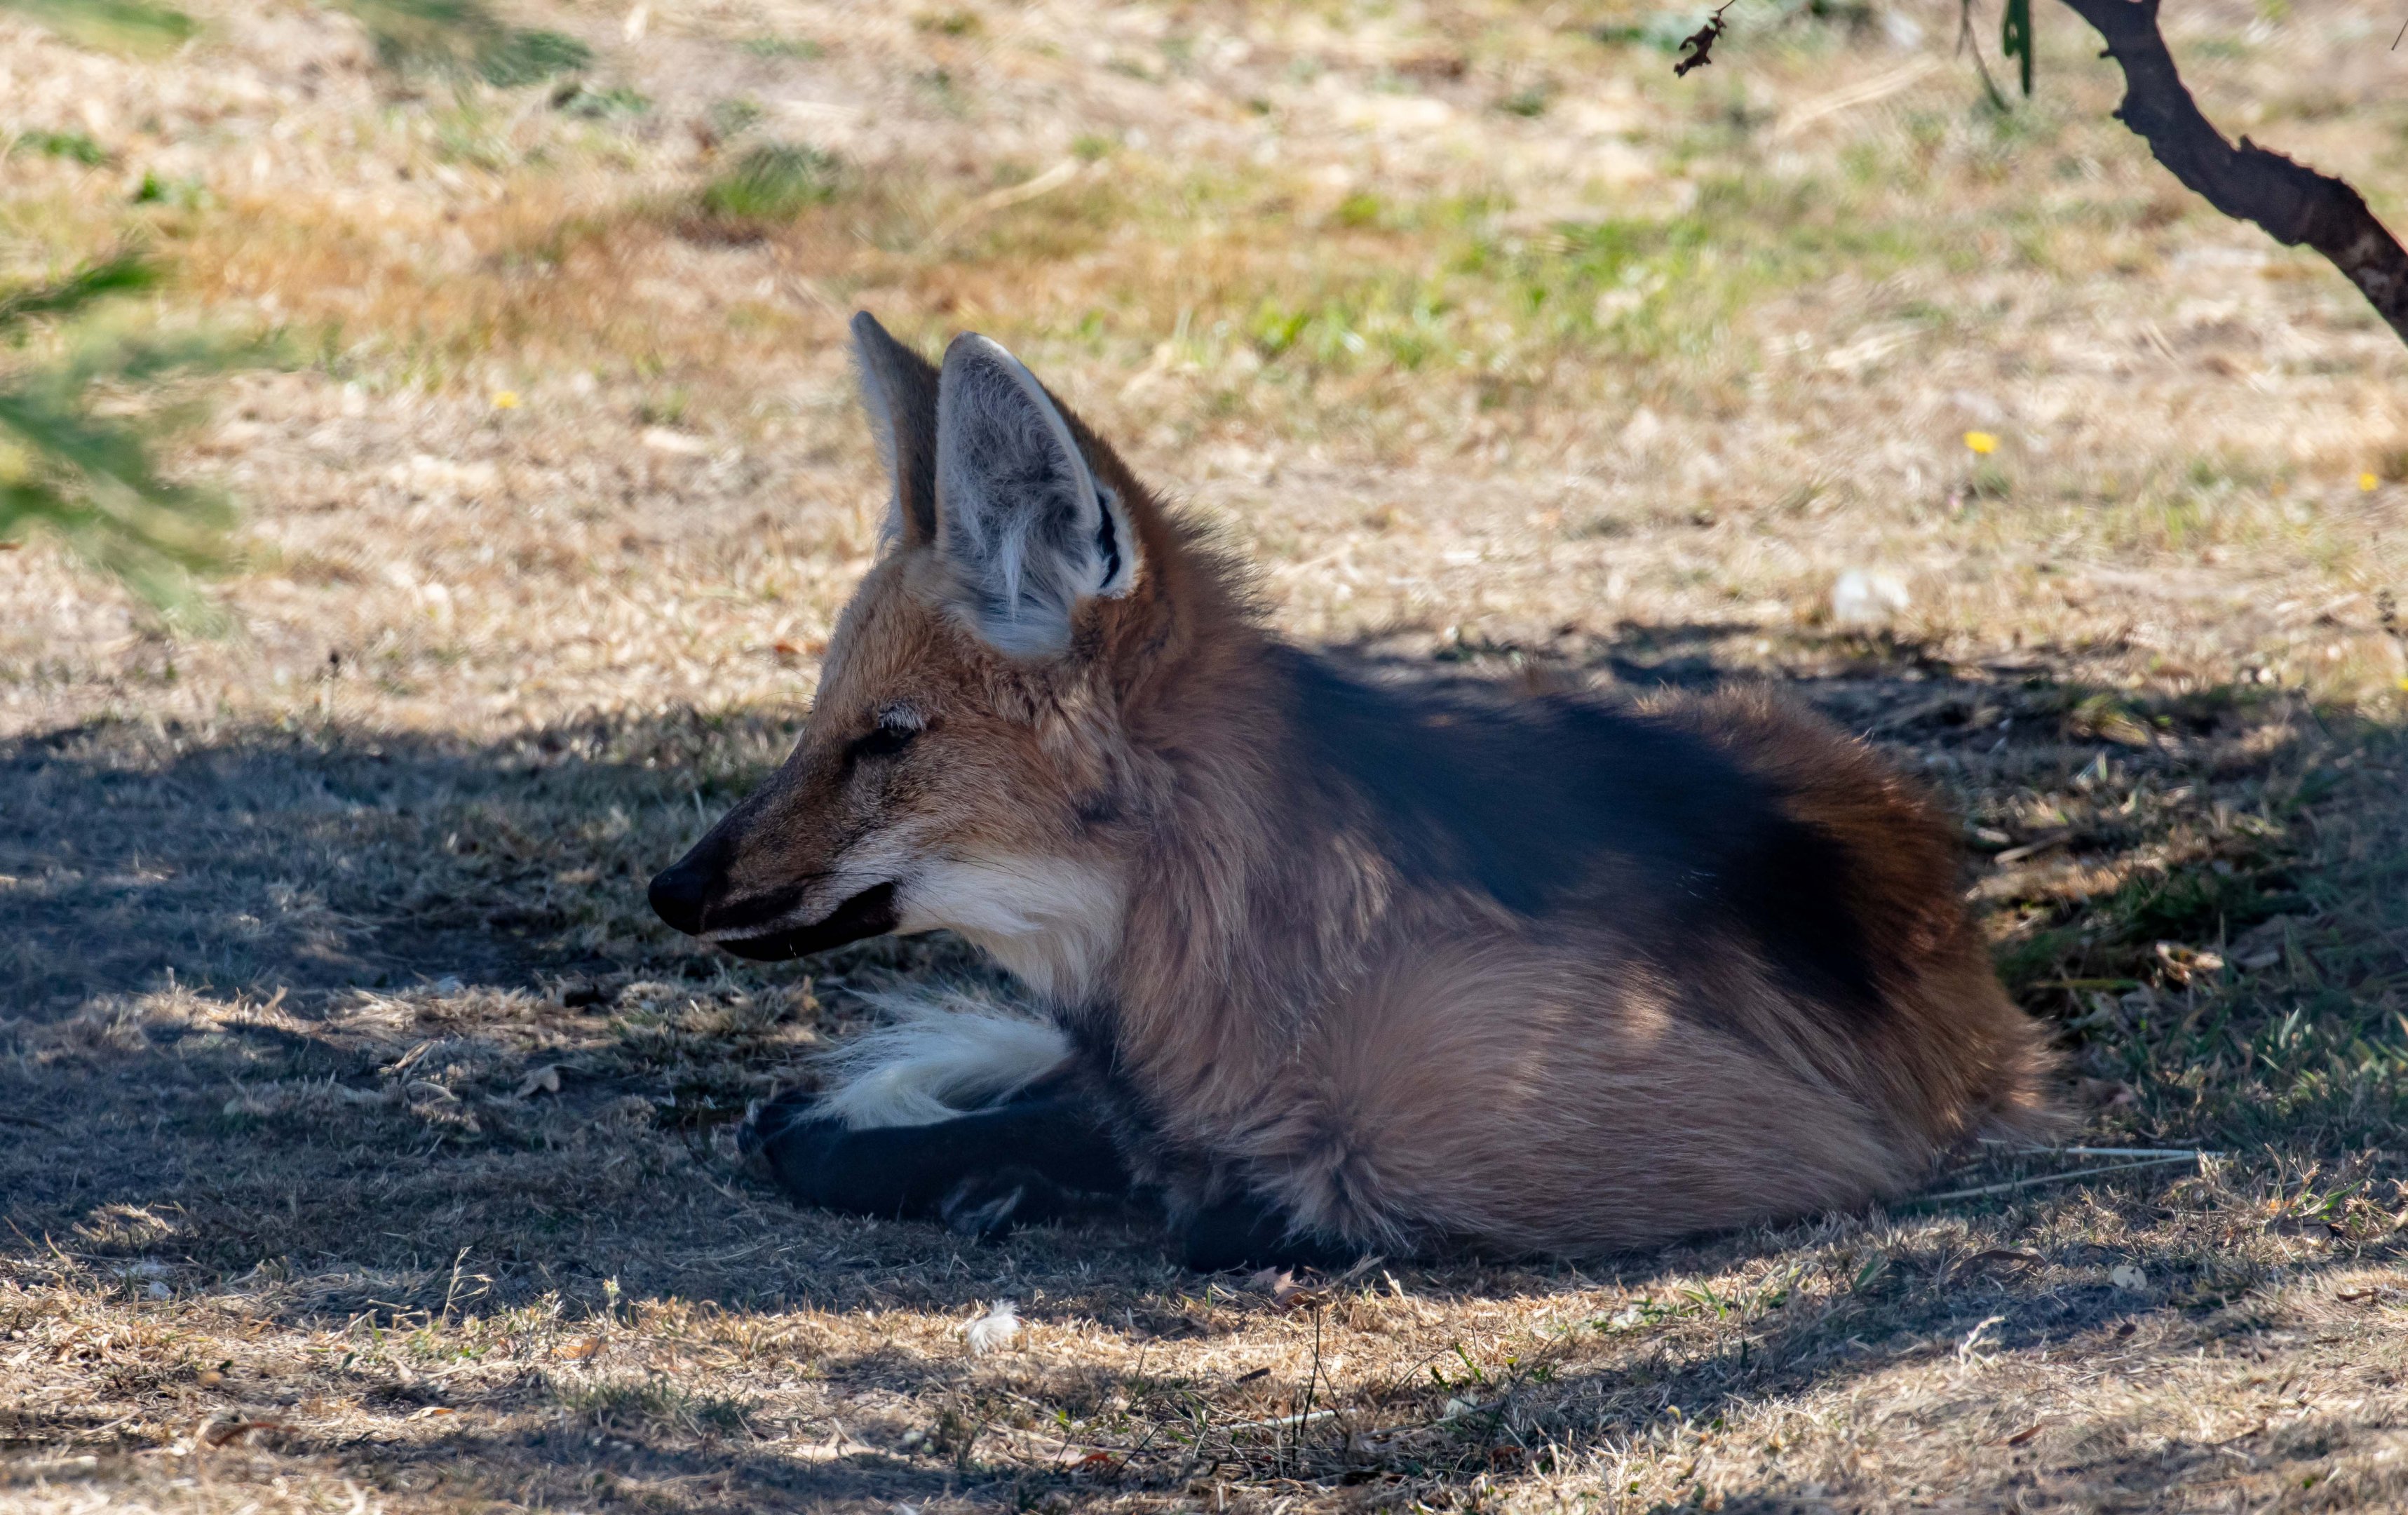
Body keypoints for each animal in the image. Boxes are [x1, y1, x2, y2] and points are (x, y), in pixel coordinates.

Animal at [646, 313, 2056, 1270]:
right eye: (816, 726)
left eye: (886, 740)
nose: (670, 890)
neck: (1245, 958)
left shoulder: (1762, 1147)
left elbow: (1249, 1204)